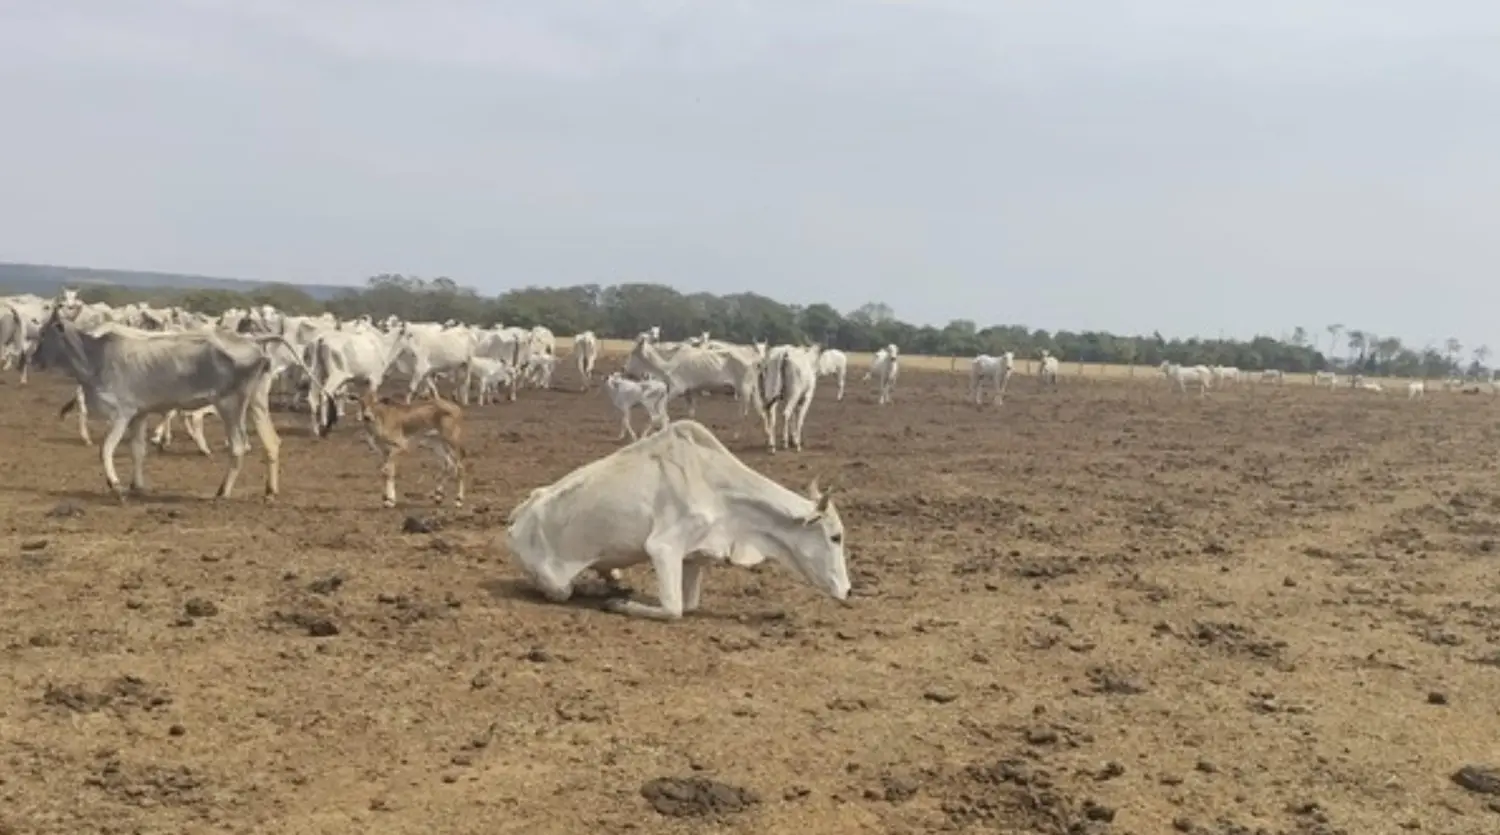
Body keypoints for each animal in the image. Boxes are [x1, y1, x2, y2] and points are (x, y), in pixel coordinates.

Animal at [507, 416, 852, 617]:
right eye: (835, 537)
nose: (848, 590)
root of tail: (515, 520)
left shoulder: (695, 556)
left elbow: (689, 604)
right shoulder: (663, 548)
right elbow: (674, 610)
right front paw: (621, 606)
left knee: (606, 571)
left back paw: (612, 582)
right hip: (554, 583)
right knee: (563, 590)